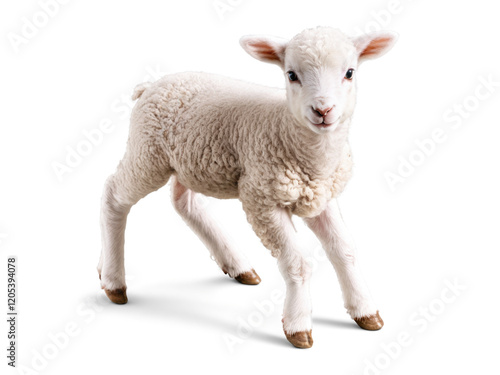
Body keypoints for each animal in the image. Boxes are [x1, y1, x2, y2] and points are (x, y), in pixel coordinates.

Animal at [97, 26, 396, 350]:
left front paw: (365, 311)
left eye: (350, 72)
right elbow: (297, 263)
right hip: (148, 154)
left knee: (183, 203)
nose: (323, 110)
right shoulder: (262, 200)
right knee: (113, 195)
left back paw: (233, 264)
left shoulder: (321, 196)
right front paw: (298, 325)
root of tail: (150, 85)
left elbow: (345, 251)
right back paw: (113, 281)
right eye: (292, 75)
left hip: (189, 161)